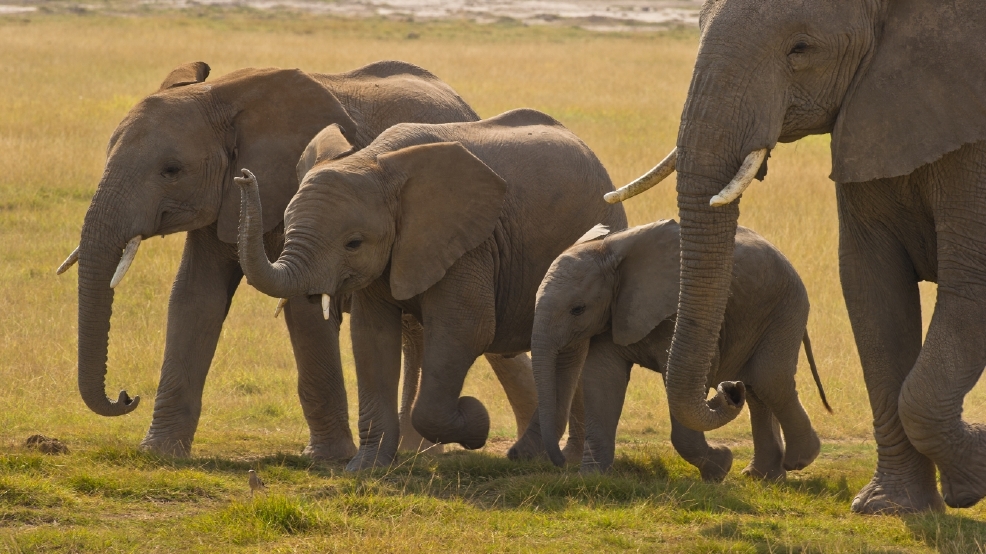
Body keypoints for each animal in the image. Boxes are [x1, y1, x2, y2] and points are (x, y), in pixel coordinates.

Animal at [58, 59, 540, 458]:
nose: (126, 396)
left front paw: (329, 460)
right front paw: (159, 453)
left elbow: (305, 307)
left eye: (171, 170)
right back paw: (418, 451)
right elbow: (195, 297)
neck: (221, 96)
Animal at [234, 109, 628, 470]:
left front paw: (476, 419)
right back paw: (559, 459)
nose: (244, 176)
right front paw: (366, 469)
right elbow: (372, 337)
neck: (376, 160)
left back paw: (545, 459)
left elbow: (465, 330)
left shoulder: (470, 245)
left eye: (354, 243)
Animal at [516, 219, 832, 478]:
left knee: (769, 379)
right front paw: (592, 477)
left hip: (786, 306)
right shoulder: (610, 315)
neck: (606, 249)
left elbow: (686, 374)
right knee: (755, 387)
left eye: (577, 309)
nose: (729, 392)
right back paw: (762, 476)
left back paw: (800, 459)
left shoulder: (671, 311)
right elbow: (602, 379)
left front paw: (721, 466)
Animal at [608, 0, 984, 512]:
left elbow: (970, 281)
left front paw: (972, 476)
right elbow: (871, 285)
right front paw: (889, 507)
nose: (726, 391)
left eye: (801, 49)